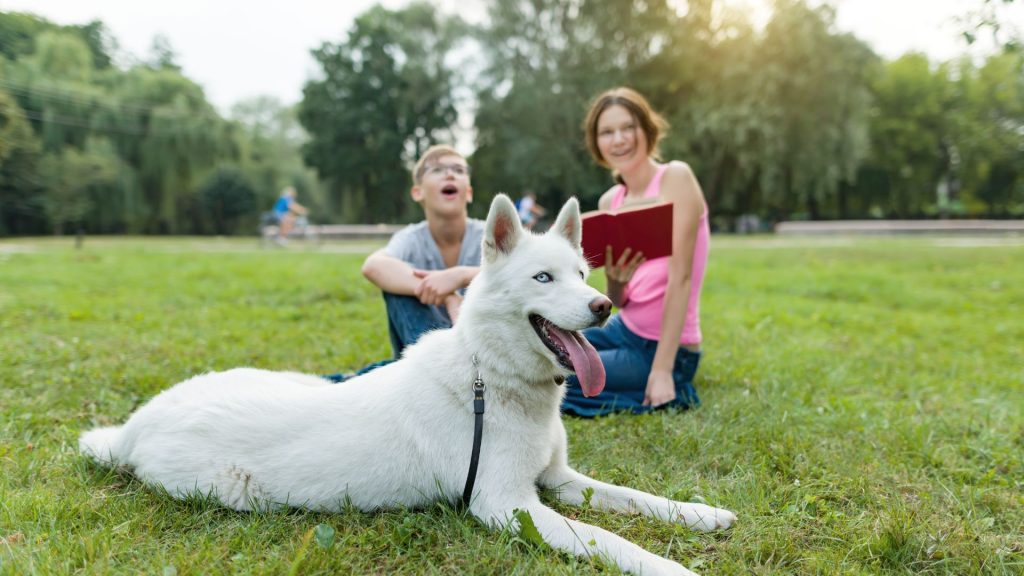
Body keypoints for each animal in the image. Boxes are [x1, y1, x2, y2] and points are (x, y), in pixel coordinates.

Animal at [79, 193, 737, 573]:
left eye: (582, 273)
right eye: (544, 278)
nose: (603, 306)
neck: (490, 378)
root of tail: (138, 423)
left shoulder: (559, 481)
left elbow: (635, 499)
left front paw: (699, 514)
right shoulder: (509, 506)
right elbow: (609, 539)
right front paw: (673, 568)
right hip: (232, 492)